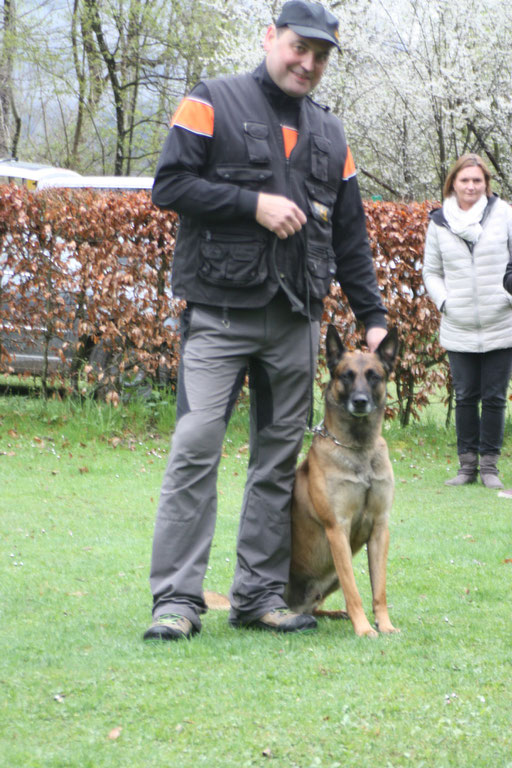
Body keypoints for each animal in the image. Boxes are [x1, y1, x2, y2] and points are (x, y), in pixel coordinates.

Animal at [284, 324, 400, 636]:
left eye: (373, 376)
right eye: (346, 375)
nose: (360, 402)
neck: (359, 449)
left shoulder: (381, 528)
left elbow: (379, 589)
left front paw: (385, 625)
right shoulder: (337, 529)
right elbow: (354, 591)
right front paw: (364, 629)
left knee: (315, 608)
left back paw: (334, 613)